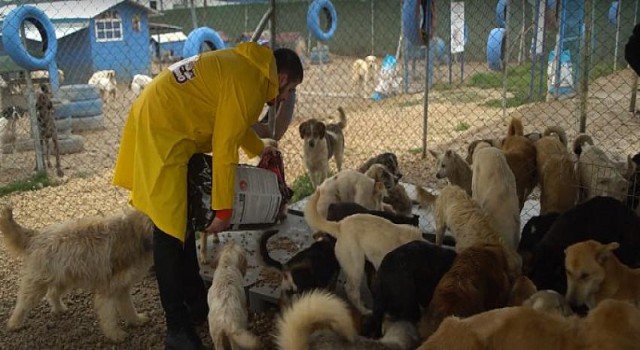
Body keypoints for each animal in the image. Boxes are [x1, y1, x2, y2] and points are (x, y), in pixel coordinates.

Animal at [0, 205, 154, 342]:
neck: (135, 233)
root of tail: (36, 236)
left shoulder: (122, 287)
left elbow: (128, 307)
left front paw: (136, 320)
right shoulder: (108, 290)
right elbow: (109, 316)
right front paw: (115, 335)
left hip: (63, 277)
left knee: (53, 294)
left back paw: (59, 308)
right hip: (37, 283)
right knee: (23, 303)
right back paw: (14, 323)